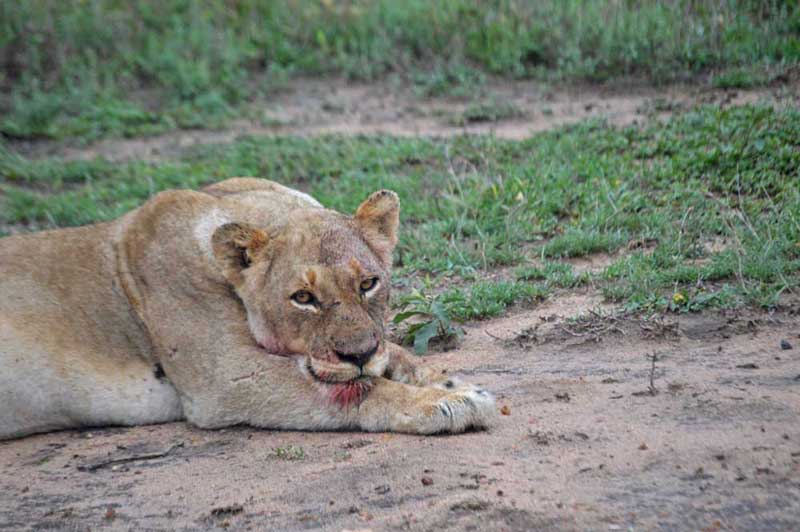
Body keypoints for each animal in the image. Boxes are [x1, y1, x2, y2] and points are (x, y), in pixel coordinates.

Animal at [0, 178, 496, 440]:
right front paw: (451, 401)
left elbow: (395, 354)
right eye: (303, 298)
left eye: (368, 284)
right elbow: (354, 389)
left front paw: (440, 379)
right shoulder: (226, 376)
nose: (357, 354)